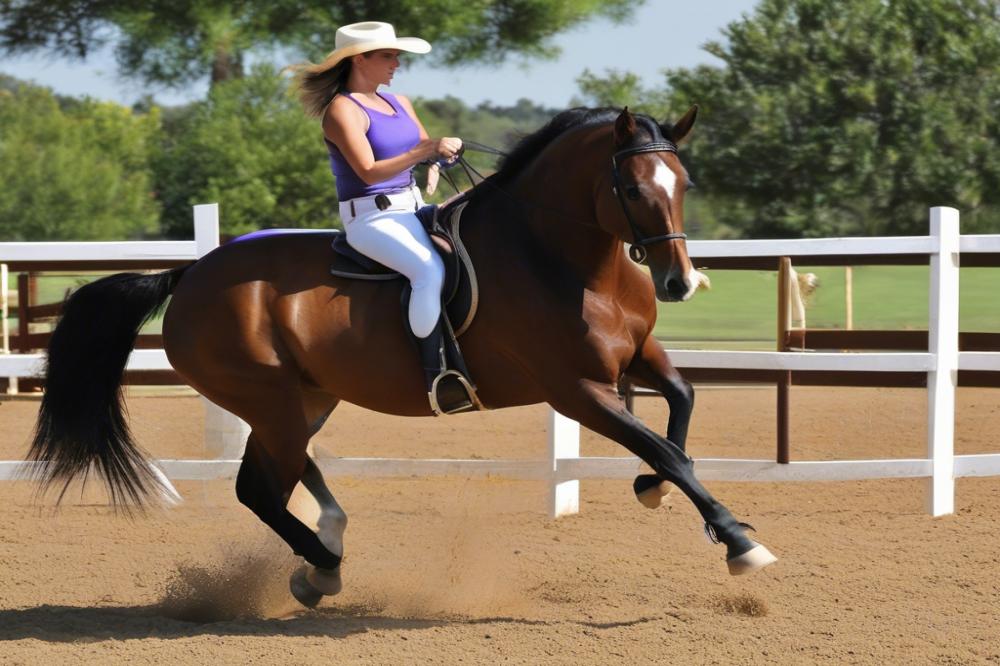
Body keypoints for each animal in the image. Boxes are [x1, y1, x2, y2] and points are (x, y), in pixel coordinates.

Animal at [27, 105, 776, 608]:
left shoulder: (636, 357)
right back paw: (323, 565)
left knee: (282, 473)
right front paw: (739, 542)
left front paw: (654, 492)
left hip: (304, 398)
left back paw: (323, 551)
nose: (678, 282)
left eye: (682, 184)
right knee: (260, 487)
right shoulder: (577, 389)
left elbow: (681, 404)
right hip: (270, 401)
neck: (559, 255)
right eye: (632, 188)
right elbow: (667, 449)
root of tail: (190, 275)